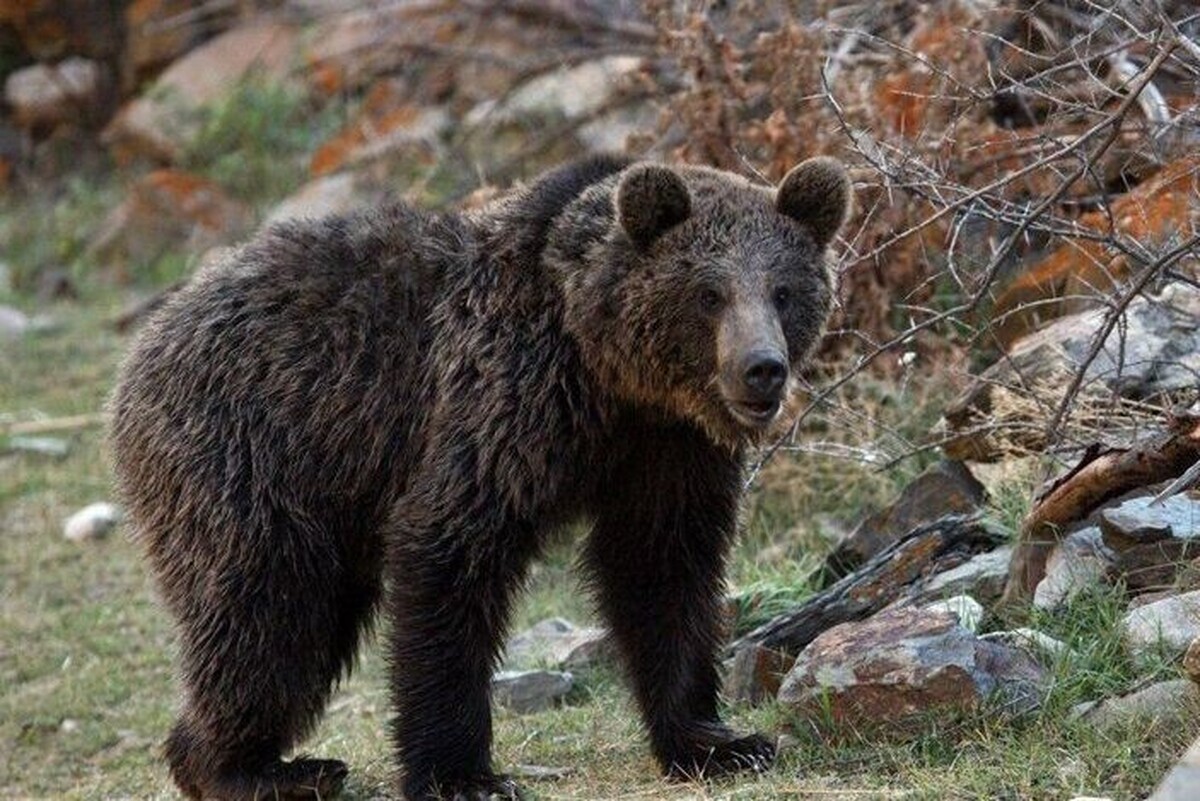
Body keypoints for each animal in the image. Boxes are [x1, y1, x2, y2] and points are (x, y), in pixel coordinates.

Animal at [105, 151, 854, 801]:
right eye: (708, 292)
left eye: (784, 290)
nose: (762, 370)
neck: (607, 374)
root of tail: (152, 335)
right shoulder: (502, 402)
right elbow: (451, 551)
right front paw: (462, 774)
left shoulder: (669, 452)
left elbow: (663, 570)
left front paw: (718, 742)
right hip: (254, 453)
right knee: (267, 608)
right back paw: (246, 769)